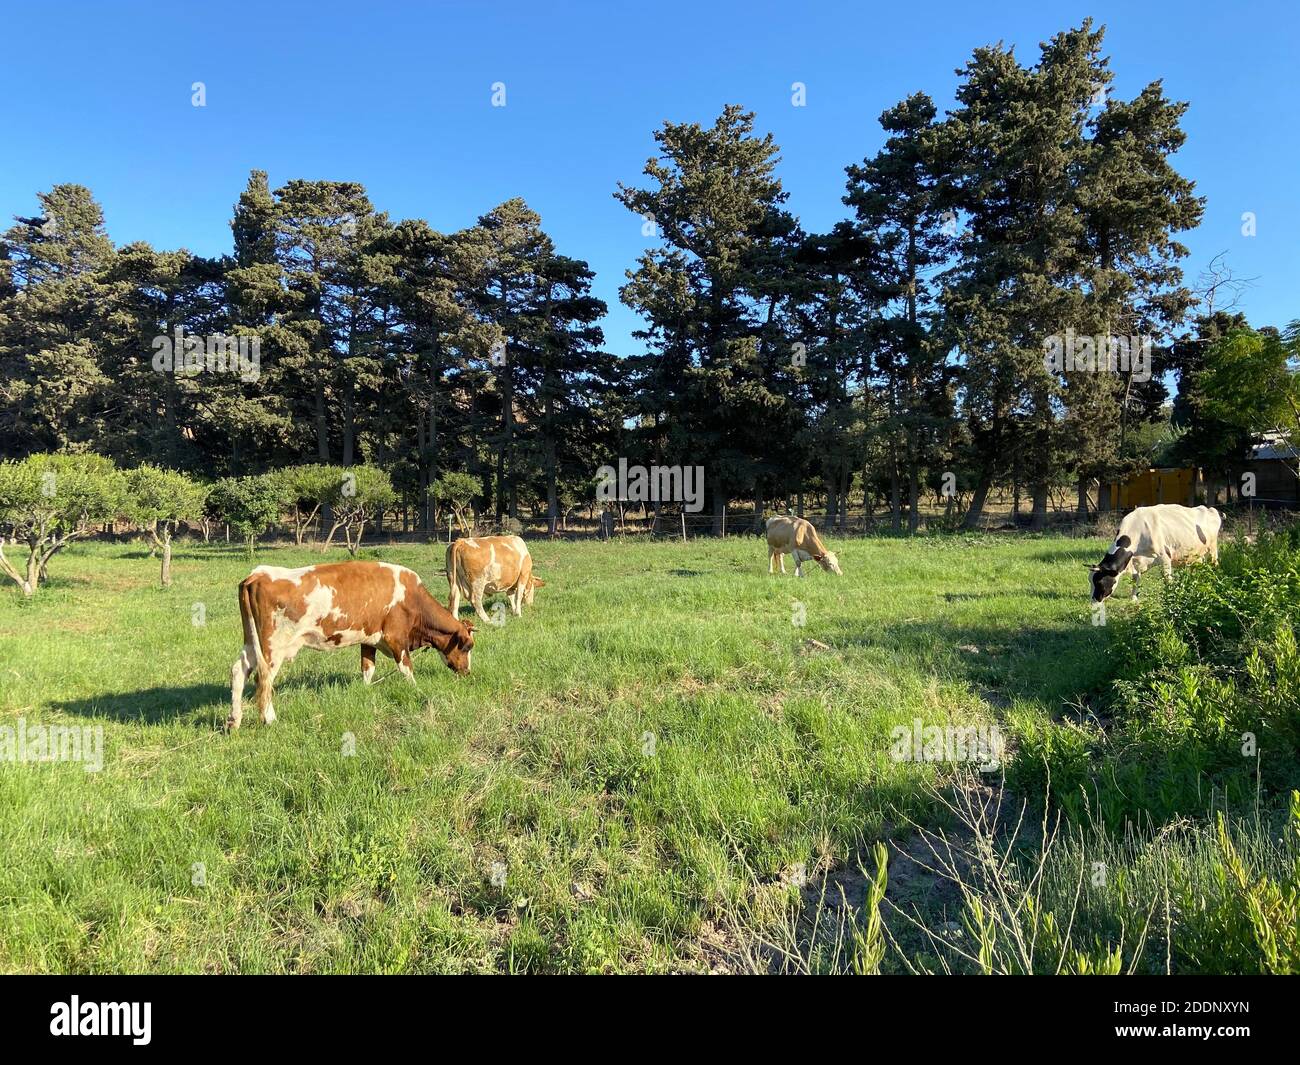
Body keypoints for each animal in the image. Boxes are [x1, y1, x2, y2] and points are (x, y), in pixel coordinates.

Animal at [229, 560, 474, 730]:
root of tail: (257, 575)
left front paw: (365, 691)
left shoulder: (369, 639)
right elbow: (406, 669)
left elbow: (368, 668)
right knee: (264, 679)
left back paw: (234, 720)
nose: (467, 672)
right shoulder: (396, 637)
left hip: (252, 642)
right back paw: (269, 718)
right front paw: (417, 690)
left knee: (239, 671)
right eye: (466, 647)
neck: (412, 597)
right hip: (273, 647)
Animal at [1090, 504, 1222, 603]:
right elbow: (1135, 579)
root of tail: (1209, 509)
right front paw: (1133, 598)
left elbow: (1167, 579)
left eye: (1099, 582)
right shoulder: (1135, 560)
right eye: (1090, 581)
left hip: (1213, 549)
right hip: (1196, 556)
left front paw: (1171, 597)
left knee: (1215, 565)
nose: (1093, 600)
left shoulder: (1165, 557)